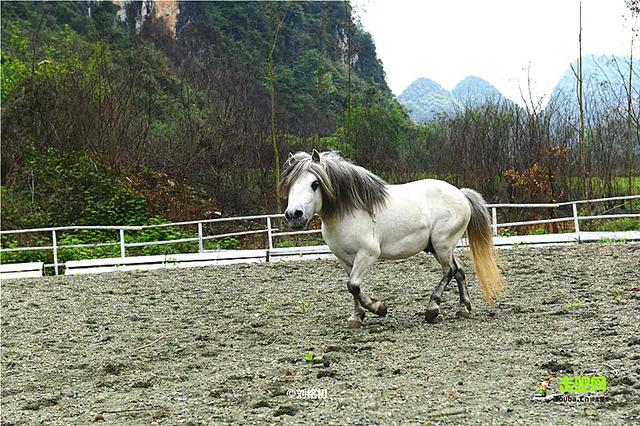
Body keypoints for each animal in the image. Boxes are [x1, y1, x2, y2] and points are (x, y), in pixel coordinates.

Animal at [280, 151, 504, 330]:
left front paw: (379, 308)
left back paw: (432, 308)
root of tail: (461, 194)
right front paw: (356, 317)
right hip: (439, 247)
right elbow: (351, 286)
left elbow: (353, 285)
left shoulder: (367, 255)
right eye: (289, 185)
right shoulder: (344, 259)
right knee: (459, 270)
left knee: (449, 270)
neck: (350, 210)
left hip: (442, 244)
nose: (294, 215)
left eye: (315, 184)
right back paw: (463, 308)